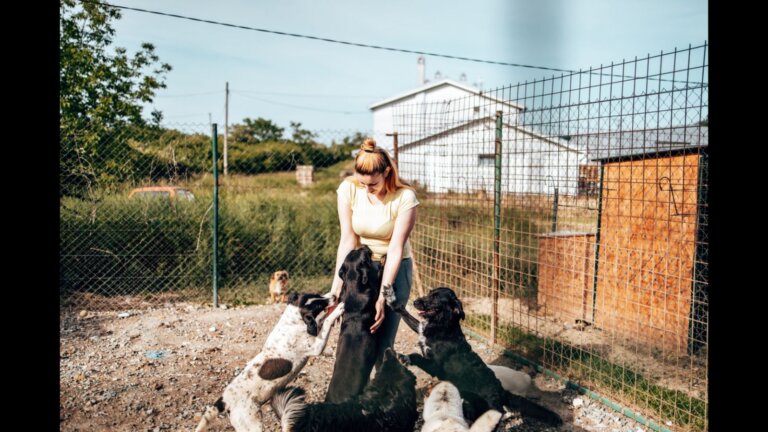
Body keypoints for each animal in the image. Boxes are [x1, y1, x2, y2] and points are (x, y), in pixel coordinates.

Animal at [195, 292, 344, 432]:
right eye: (317, 306)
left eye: (316, 294)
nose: (334, 296)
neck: (292, 321)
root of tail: (224, 399)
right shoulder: (316, 346)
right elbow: (327, 321)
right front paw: (339, 309)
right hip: (252, 424)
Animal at [388, 286, 560, 426]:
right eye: (430, 293)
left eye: (436, 297)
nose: (415, 301)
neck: (443, 327)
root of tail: (501, 391)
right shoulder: (420, 330)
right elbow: (407, 315)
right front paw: (390, 298)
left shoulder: (435, 366)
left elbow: (417, 356)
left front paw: (405, 357)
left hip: (489, 407)